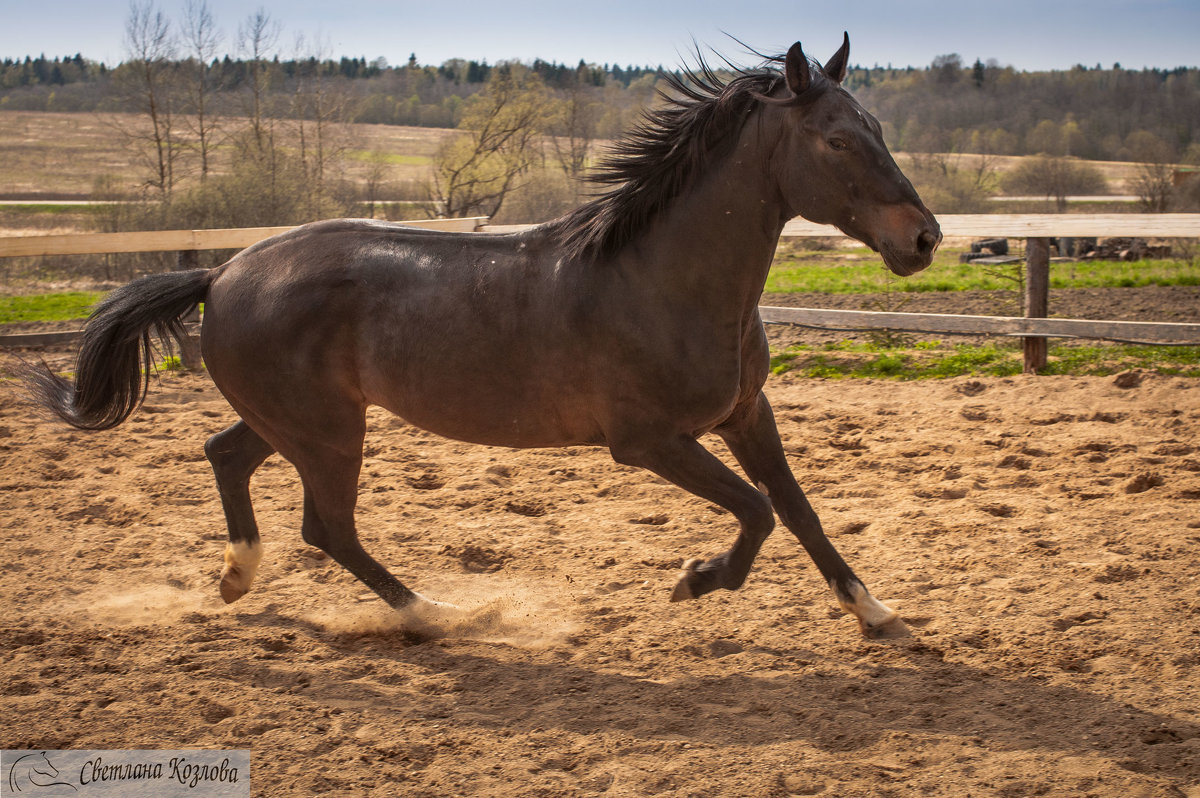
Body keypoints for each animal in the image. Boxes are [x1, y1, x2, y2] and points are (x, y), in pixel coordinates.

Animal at [21, 35, 936, 633]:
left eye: (881, 129)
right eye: (838, 139)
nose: (923, 238)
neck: (662, 282)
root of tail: (222, 273)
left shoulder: (747, 413)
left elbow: (799, 509)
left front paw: (877, 611)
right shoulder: (649, 441)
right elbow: (757, 512)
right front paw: (695, 580)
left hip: (299, 421)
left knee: (226, 455)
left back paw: (238, 579)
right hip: (328, 432)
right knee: (327, 527)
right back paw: (442, 613)